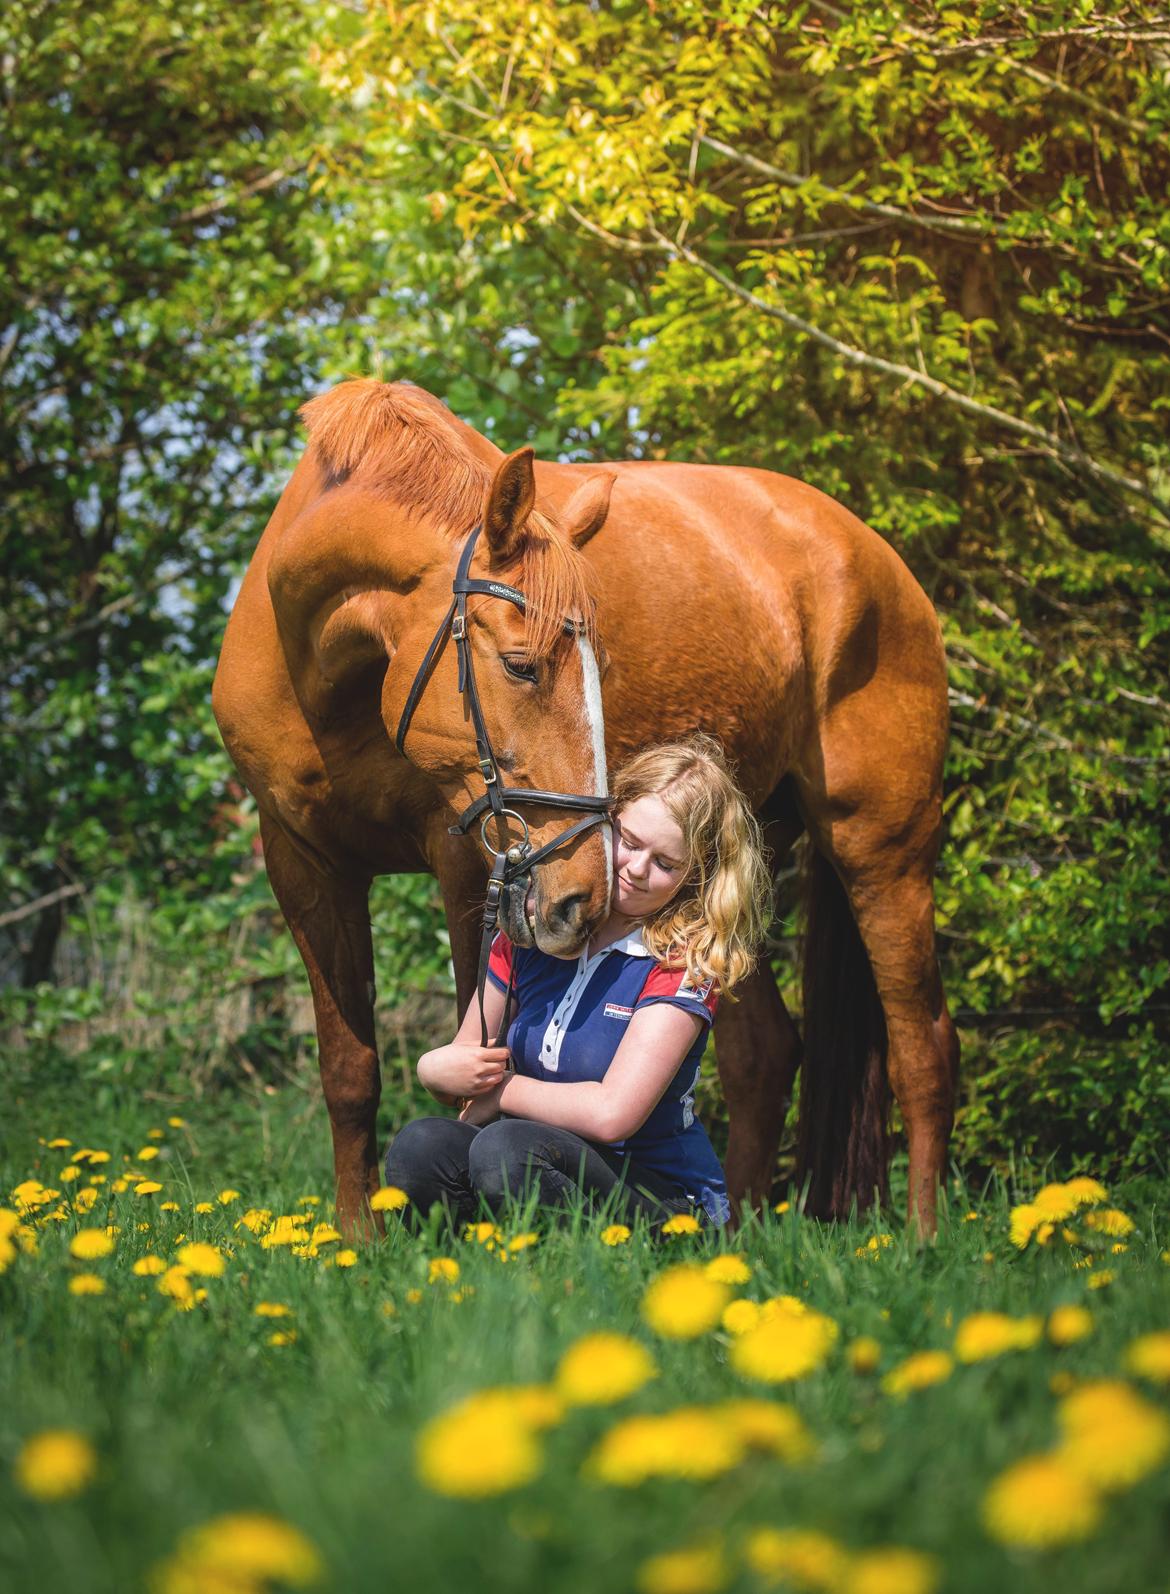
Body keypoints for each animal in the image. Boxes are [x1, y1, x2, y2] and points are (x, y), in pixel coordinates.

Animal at [213, 379, 962, 1236]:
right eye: (520, 664)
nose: (582, 894)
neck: (328, 679)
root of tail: (875, 555)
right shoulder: (304, 865)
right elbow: (349, 1070)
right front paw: (355, 1238)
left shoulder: (466, 866)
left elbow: (484, 1056)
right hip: (739, 861)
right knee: (762, 1054)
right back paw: (732, 1227)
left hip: (882, 853)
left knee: (924, 1050)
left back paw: (922, 1238)